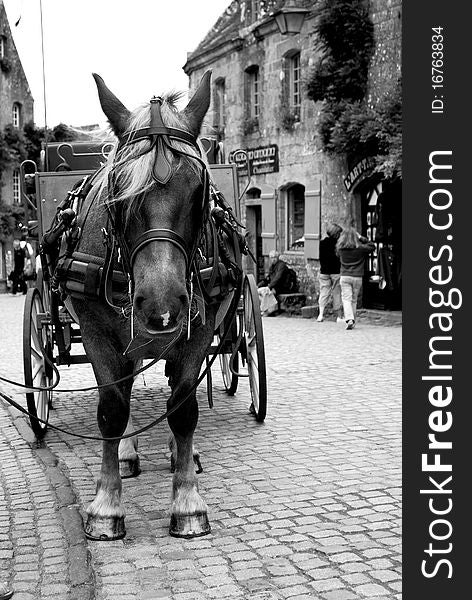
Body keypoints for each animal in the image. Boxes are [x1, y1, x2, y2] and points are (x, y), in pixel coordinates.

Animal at [64, 70, 238, 540]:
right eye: (118, 192)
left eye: (199, 190)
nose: (161, 305)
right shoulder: (98, 334)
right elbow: (112, 409)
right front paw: (106, 507)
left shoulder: (196, 331)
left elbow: (183, 409)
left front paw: (188, 502)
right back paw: (126, 455)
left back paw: (182, 455)